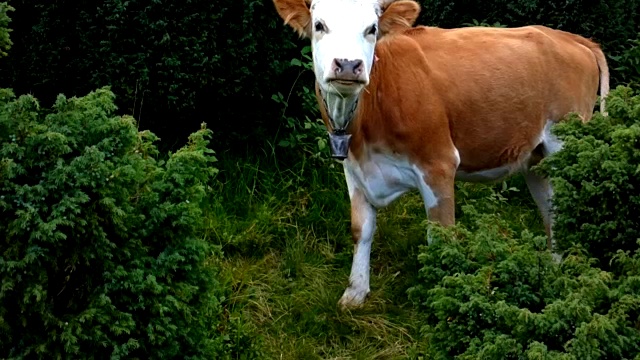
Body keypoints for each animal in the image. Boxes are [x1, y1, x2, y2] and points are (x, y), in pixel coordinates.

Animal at [272, 0, 608, 310]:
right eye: (319, 25)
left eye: (372, 29)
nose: (347, 64)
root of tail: (571, 38)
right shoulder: (355, 169)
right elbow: (361, 229)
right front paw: (355, 292)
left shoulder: (438, 164)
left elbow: (441, 236)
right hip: (537, 159)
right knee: (552, 211)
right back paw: (554, 269)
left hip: (565, 144)